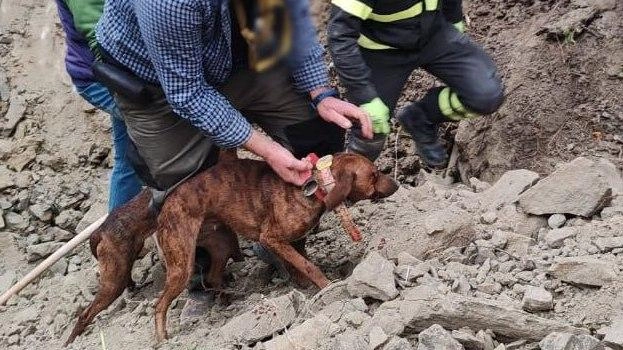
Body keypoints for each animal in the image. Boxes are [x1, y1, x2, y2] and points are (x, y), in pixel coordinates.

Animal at [153, 151, 398, 342]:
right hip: (181, 264)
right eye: (374, 175)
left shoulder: (296, 240)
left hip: (221, 245)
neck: (315, 185)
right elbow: (307, 265)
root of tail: (163, 210)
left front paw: (302, 284)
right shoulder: (271, 238)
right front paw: (326, 285)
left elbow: (300, 262)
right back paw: (163, 337)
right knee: (160, 304)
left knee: (213, 277)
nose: (397, 184)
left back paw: (226, 301)